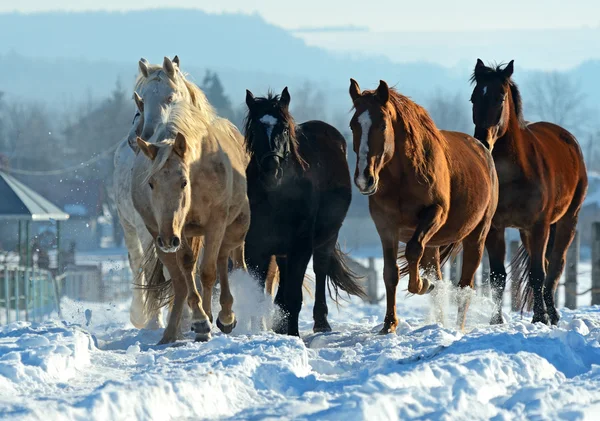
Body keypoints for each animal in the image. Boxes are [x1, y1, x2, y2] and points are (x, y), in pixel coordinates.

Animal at [132, 97, 251, 342]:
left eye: (183, 182)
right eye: (151, 183)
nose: (168, 239)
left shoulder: (215, 222)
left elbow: (208, 271)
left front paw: (213, 318)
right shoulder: (177, 231)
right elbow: (187, 266)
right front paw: (200, 320)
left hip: (234, 229)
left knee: (223, 259)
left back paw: (225, 316)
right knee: (180, 282)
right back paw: (172, 333)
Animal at [243, 87, 366, 336]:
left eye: (283, 128)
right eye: (255, 129)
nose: (272, 169)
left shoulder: (300, 247)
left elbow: (294, 296)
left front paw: (292, 334)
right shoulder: (256, 246)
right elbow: (260, 295)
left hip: (326, 239)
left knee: (320, 270)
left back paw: (321, 322)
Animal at [346, 80, 496, 334]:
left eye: (383, 124)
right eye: (353, 125)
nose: (364, 179)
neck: (403, 177)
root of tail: (483, 149)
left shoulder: (435, 214)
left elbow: (414, 249)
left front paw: (423, 285)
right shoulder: (386, 226)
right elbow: (390, 273)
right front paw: (389, 324)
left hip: (476, 236)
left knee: (465, 286)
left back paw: (457, 327)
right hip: (434, 245)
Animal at [468, 58, 584, 324]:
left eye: (500, 97)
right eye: (473, 98)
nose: (482, 141)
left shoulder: (539, 226)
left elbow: (538, 274)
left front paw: (540, 319)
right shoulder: (495, 228)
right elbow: (498, 276)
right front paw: (496, 321)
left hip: (567, 221)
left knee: (555, 266)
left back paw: (553, 315)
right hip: (525, 232)